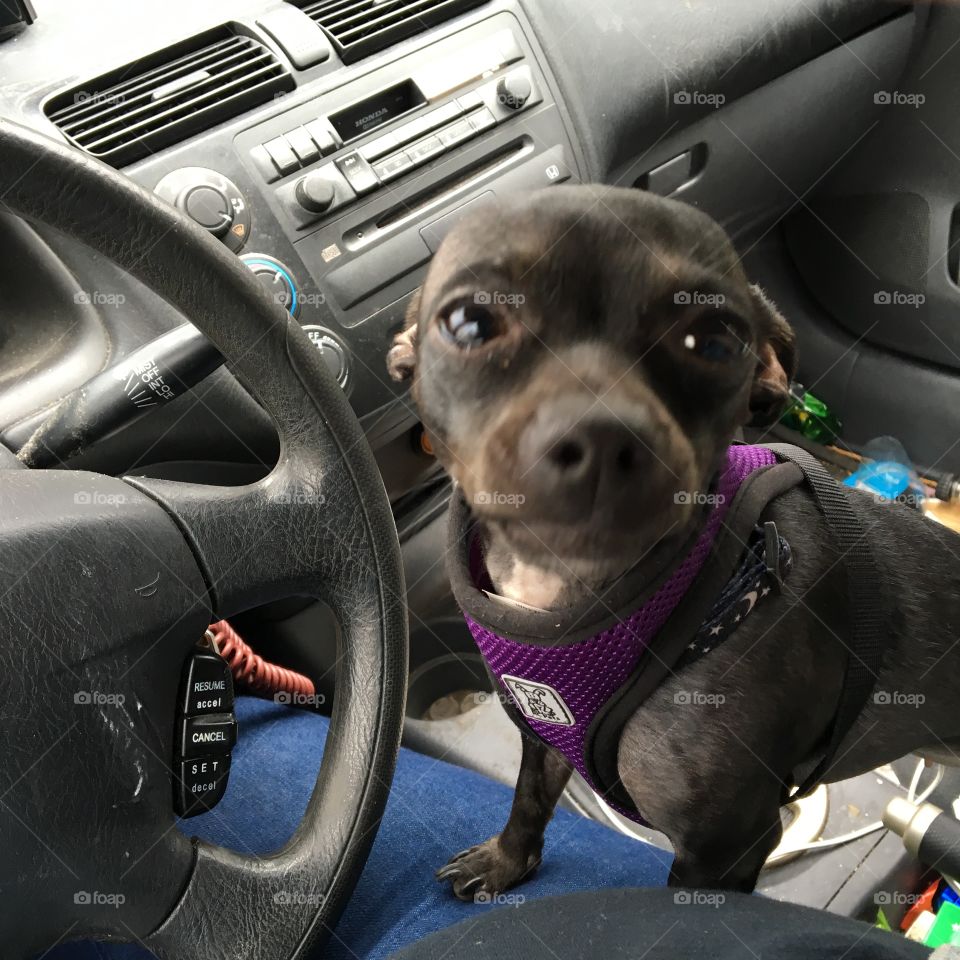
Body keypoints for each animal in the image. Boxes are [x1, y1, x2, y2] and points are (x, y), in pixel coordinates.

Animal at [384, 184, 960, 896]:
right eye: (468, 322)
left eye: (716, 341)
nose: (600, 436)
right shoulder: (543, 738)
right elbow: (527, 801)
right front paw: (504, 862)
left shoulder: (728, 847)